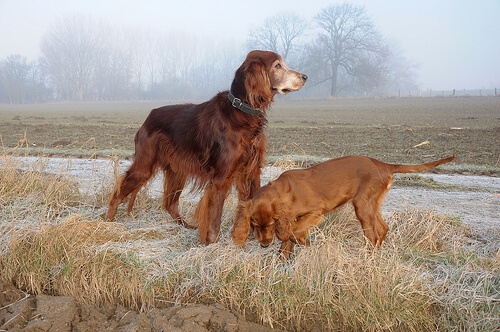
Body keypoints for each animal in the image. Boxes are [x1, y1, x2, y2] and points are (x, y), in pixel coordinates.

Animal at [232, 154, 456, 258]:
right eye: (253, 225)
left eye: (271, 224)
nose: (264, 245)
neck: (284, 191)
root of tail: (383, 165)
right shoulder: (292, 218)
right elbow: (287, 241)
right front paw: (281, 263)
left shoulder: (316, 213)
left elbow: (292, 234)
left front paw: (305, 243)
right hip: (371, 204)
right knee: (383, 228)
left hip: (362, 205)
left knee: (373, 234)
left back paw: (368, 258)